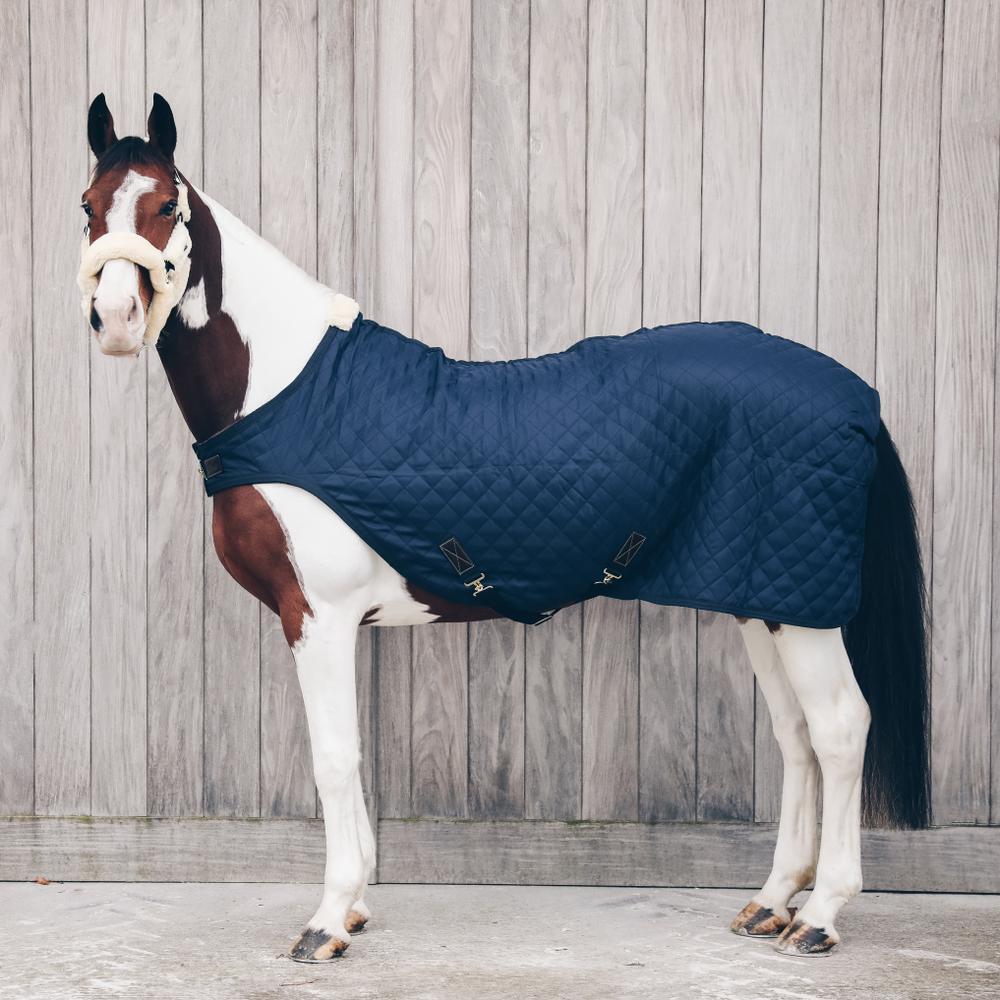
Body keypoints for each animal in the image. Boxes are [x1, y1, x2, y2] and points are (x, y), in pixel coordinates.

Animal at [79, 93, 929, 964]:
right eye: (88, 208)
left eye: (166, 206)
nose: (113, 319)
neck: (287, 393)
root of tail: (853, 394)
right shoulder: (335, 622)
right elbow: (353, 759)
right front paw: (357, 907)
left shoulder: (318, 615)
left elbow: (335, 759)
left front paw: (327, 920)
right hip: (762, 597)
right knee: (796, 735)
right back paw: (772, 902)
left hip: (802, 609)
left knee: (839, 728)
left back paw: (820, 915)